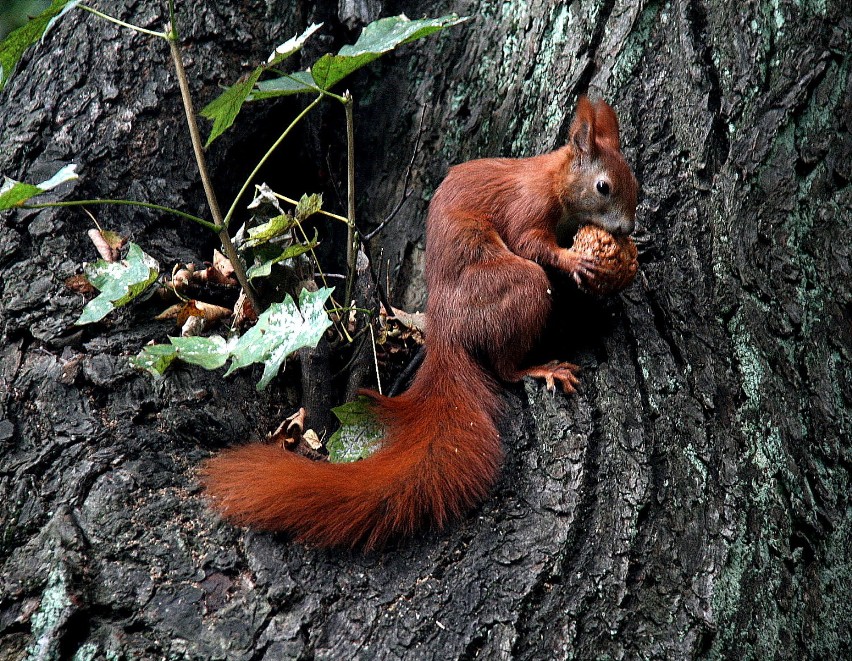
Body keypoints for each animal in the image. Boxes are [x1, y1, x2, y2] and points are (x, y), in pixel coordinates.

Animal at [201, 96, 640, 548]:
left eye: (635, 184)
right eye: (603, 187)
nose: (628, 227)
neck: (555, 181)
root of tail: (445, 331)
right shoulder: (528, 206)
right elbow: (529, 242)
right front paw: (576, 260)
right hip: (519, 287)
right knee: (506, 362)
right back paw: (539, 367)